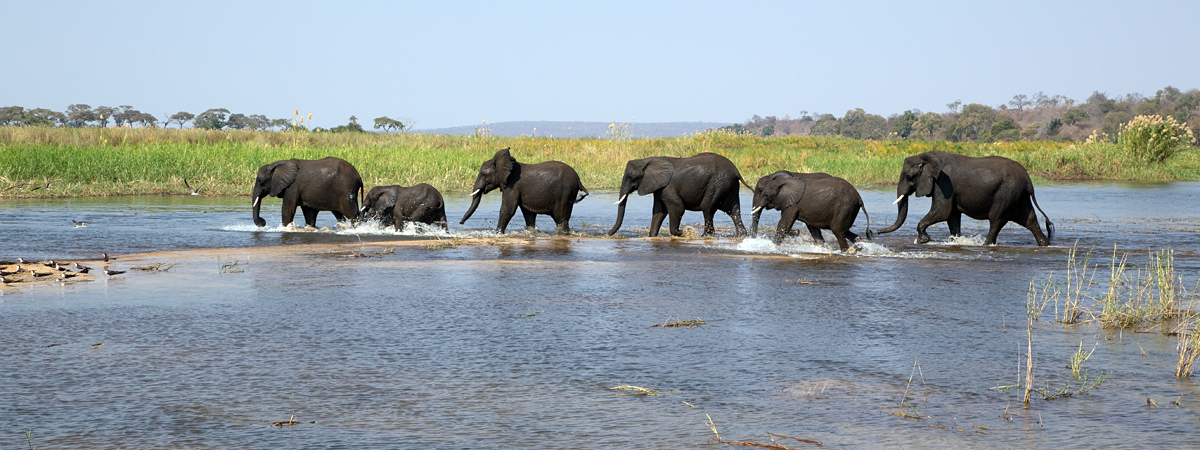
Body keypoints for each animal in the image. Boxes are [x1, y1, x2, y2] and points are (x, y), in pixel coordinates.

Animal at [459, 148, 589, 235]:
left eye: (484, 174)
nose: (460, 223)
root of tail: (578, 179)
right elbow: (528, 213)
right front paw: (531, 232)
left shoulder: (512, 186)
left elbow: (508, 209)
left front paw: (498, 233)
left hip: (565, 193)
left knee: (560, 218)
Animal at [607, 152, 750, 237]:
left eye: (631, 177)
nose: (608, 233)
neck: (648, 160)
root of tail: (736, 171)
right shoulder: (660, 187)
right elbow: (659, 211)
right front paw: (652, 236)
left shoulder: (668, 186)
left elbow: (677, 207)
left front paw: (685, 232)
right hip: (729, 186)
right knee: (734, 210)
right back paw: (741, 235)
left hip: (718, 183)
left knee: (707, 208)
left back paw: (704, 236)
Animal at [877, 150, 1053, 246]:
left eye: (909, 176)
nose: (876, 232)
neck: (926, 156)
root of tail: (1028, 179)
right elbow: (952, 217)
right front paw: (955, 241)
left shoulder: (943, 183)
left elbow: (942, 212)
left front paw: (923, 241)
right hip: (1018, 195)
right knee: (1029, 219)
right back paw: (1045, 244)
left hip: (1007, 192)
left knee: (996, 219)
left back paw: (985, 244)